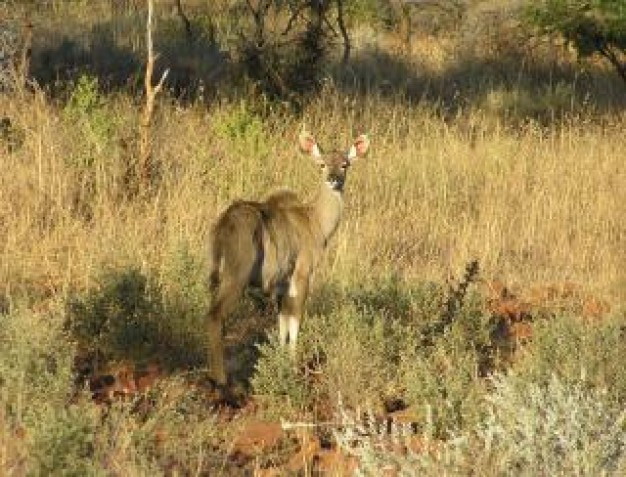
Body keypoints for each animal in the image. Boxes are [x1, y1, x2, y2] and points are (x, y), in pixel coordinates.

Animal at [205, 130, 370, 384]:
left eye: (345, 165)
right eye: (322, 164)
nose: (333, 179)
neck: (313, 220)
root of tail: (224, 223)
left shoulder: (282, 284)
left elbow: (282, 321)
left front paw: (280, 363)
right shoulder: (301, 275)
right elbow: (295, 319)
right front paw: (292, 367)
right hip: (236, 277)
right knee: (215, 316)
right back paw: (221, 380)